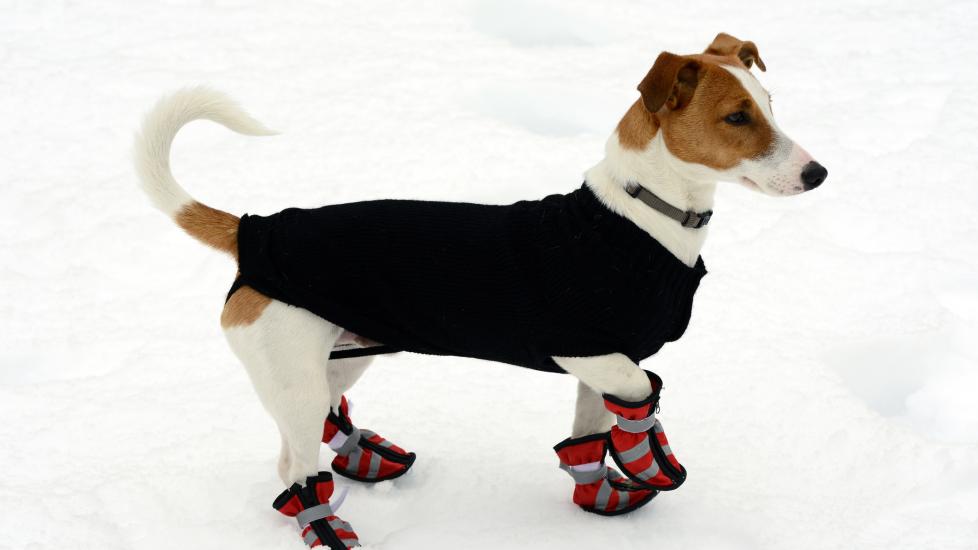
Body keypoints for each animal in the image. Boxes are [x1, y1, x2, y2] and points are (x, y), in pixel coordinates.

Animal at [135, 32, 824, 548]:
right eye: (736, 118)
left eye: (771, 104)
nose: (818, 173)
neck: (638, 217)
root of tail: (254, 230)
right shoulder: (589, 351)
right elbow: (638, 392)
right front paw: (648, 453)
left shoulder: (597, 363)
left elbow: (590, 431)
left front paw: (601, 490)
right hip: (294, 369)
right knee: (297, 467)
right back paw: (327, 527)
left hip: (337, 355)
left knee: (310, 429)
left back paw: (363, 457)